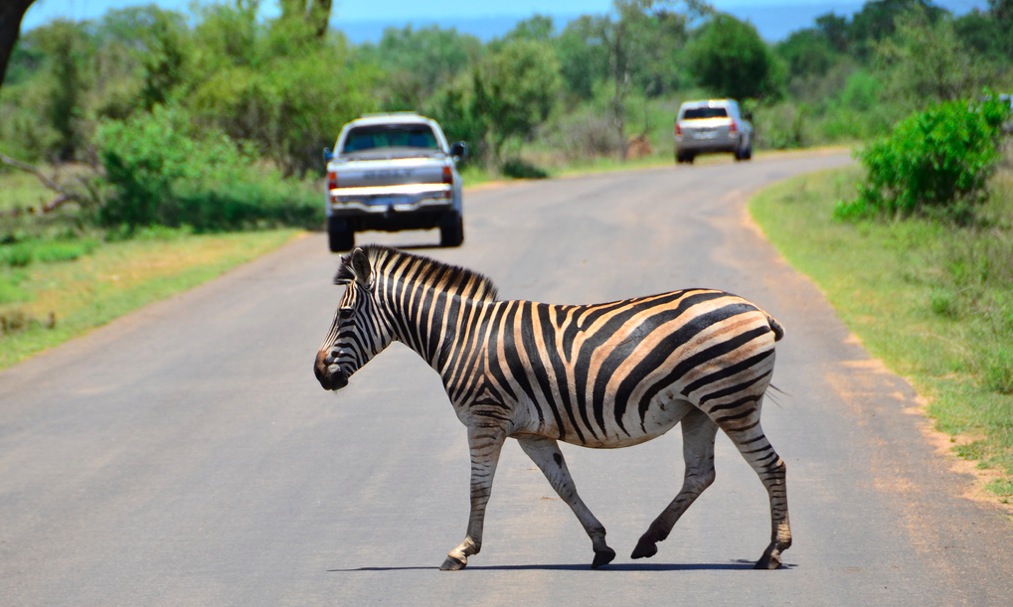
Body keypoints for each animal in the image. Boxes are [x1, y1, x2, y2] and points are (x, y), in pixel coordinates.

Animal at [314, 245, 791, 571]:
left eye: (346, 314)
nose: (319, 373)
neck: (462, 336)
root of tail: (758, 310)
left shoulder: (485, 420)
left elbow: (478, 489)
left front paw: (462, 551)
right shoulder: (532, 432)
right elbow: (564, 486)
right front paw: (601, 546)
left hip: (730, 401)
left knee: (772, 466)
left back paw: (773, 551)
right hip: (700, 409)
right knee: (700, 474)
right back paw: (648, 540)